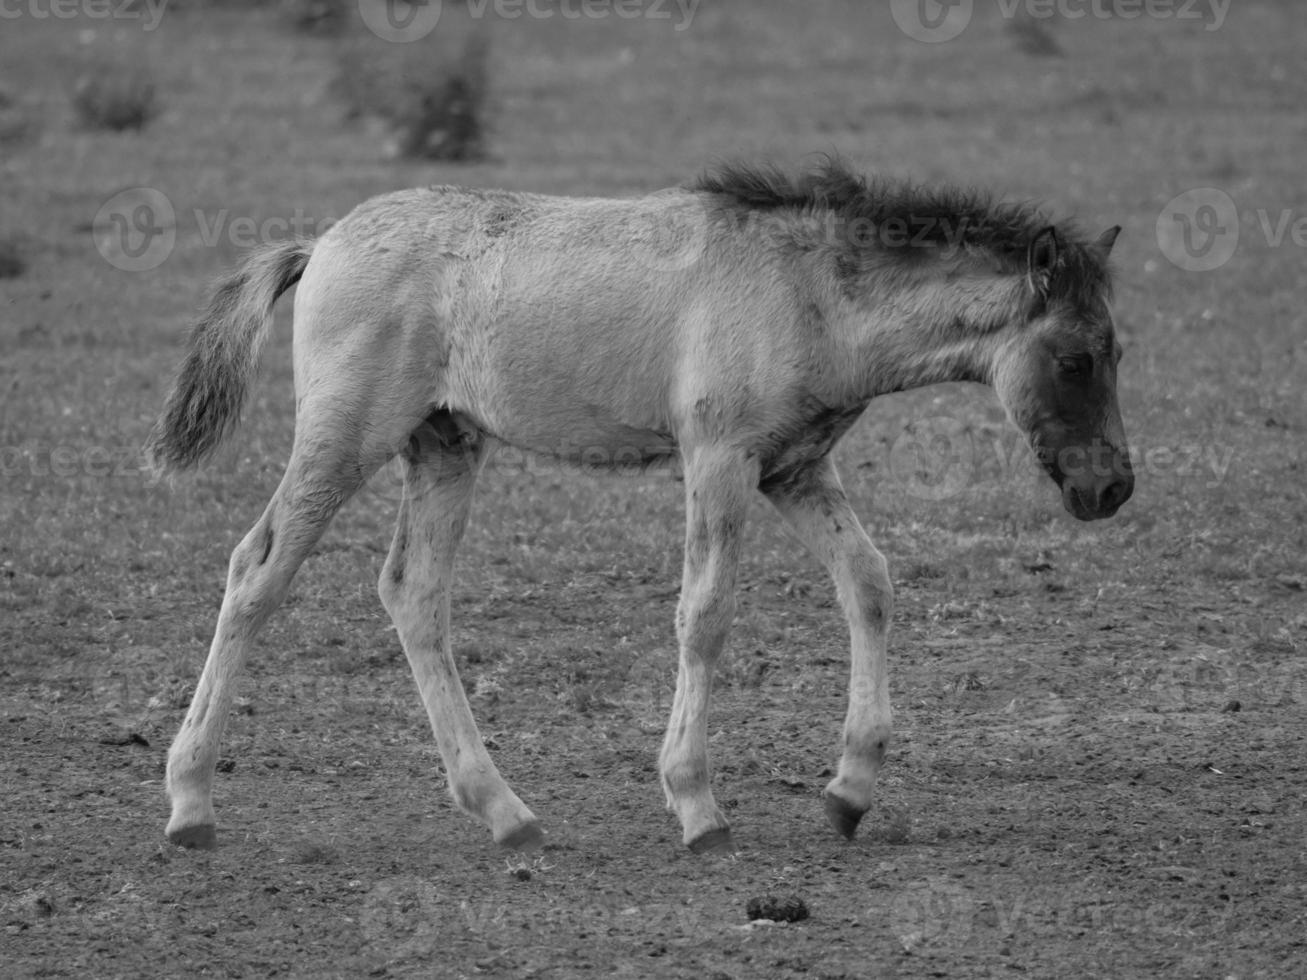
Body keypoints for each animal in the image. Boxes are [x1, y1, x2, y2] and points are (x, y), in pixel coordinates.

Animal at [148, 159, 1134, 851]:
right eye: (1076, 358)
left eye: (1117, 351)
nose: (1111, 487)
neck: (807, 292)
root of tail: (320, 245)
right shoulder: (719, 459)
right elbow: (705, 616)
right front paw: (697, 806)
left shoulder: (794, 468)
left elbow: (868, 583)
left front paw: (849, 793)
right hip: (345, 438)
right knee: (255, 572)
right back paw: (191, 803)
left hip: (444, 445)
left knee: (412, 596)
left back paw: (506, 812)